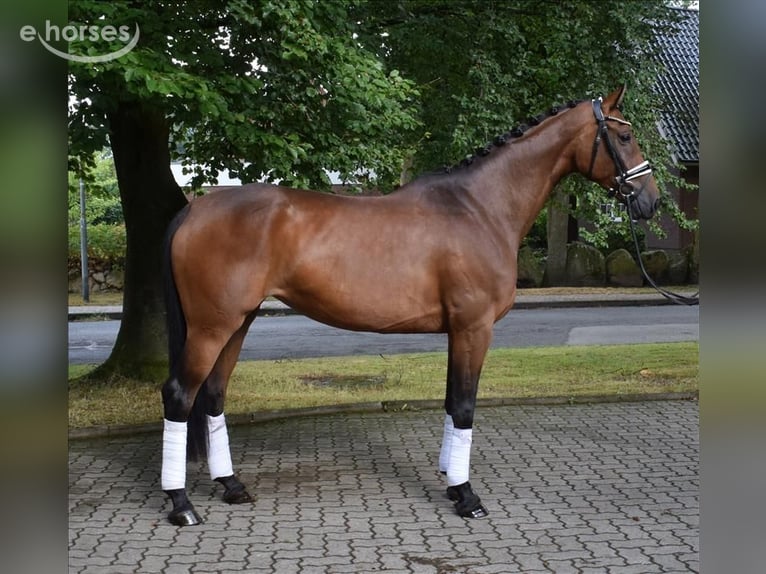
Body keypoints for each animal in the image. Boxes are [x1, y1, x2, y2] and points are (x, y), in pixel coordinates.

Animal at [160, 85, 659, 526]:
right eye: (624, 137)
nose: (650, 201)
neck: (480, 208)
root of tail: (196, 208)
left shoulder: (458, 331)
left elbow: (451, 402)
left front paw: (451, 482)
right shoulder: (474, 327)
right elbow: (464, 406)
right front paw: (466, 497)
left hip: (237, 322)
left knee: (214, 396)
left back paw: (231, 486)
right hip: (212, 327)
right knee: (180, 396)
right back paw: (182, 505)